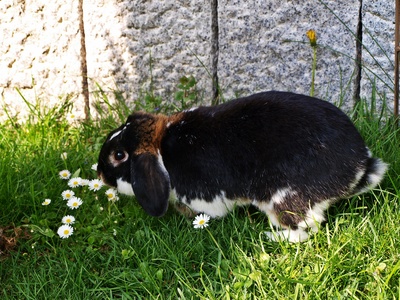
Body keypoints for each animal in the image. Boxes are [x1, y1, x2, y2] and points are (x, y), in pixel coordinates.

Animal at [97, 91, 388, 241]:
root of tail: (357, 167)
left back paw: (272, 237)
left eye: (119, 155)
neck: (160, 149)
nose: (100, 174)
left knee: (306, 230)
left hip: (282, 200)